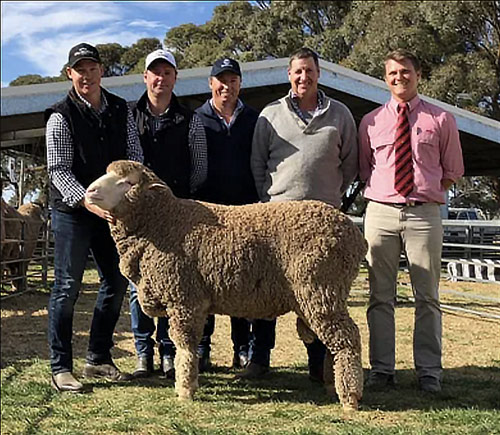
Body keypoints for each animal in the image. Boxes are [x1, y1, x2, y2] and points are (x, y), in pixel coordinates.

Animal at [85, 161, 368, 412]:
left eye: (128, 182)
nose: (89, 191)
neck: (164, 223)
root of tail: (354, 233)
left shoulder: (185, 298)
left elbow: (185, 346)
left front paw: (185, 389)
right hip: (320, 295)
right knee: (334, 342)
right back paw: (332, 385)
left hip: (321, 289)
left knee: (347, 339)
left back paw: (350, 397)